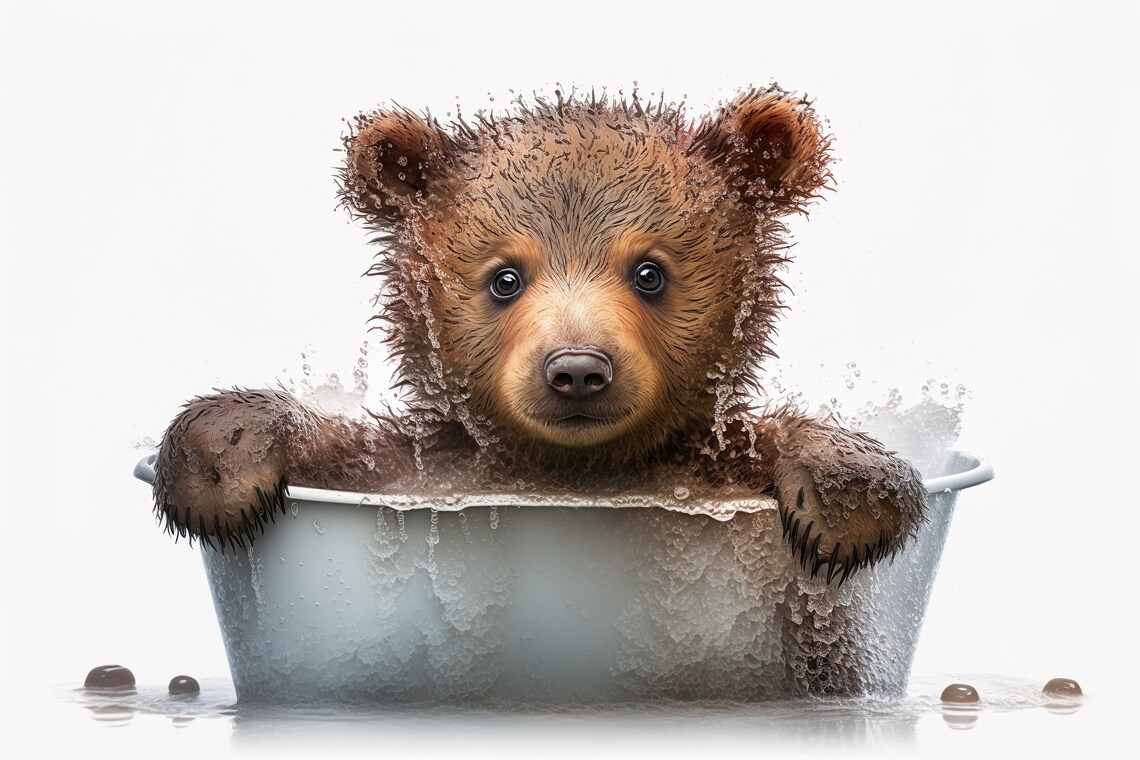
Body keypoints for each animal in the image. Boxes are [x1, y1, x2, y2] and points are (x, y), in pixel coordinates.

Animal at [153, 85, 926, 592]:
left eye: (649, 271)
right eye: (504, 277)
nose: (578, 369)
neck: (572, 473)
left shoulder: (701, 467)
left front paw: (843, 497)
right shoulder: (428, 469)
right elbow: (345, 452)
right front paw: (222, 459)